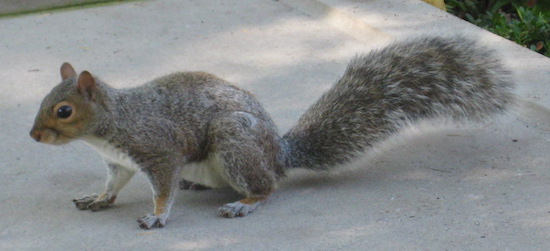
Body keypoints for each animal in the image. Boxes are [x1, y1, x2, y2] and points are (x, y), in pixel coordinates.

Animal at [29, 36, 512, 228]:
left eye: (64, 110)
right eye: (45, 98)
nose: (34, 137)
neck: (111, 124)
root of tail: (279, 153)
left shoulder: (157, 149)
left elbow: (163, 188)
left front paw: (158, 216)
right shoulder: (120, 161)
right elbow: (113, 183)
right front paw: (99, 198)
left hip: (234, 143)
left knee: (266, 187)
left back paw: (244, 203)